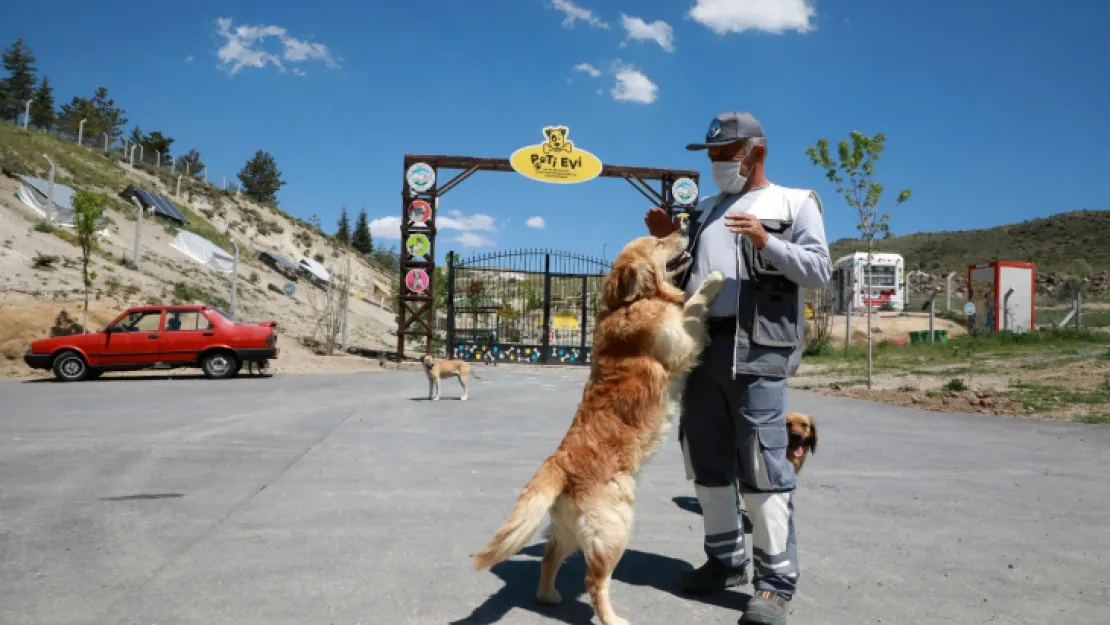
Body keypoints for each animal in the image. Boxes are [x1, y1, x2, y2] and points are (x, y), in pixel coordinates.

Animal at [470, 228, 723, 625]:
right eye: (658, 242)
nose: (684, 226)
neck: (625, 303)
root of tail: (557, 465)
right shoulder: (682, 340)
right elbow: (694, 305)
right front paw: (713, 280)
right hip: (614, 527)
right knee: (594, 580)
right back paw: (611, 618)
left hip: (570, 530)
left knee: (548, 557)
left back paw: (547, 595)